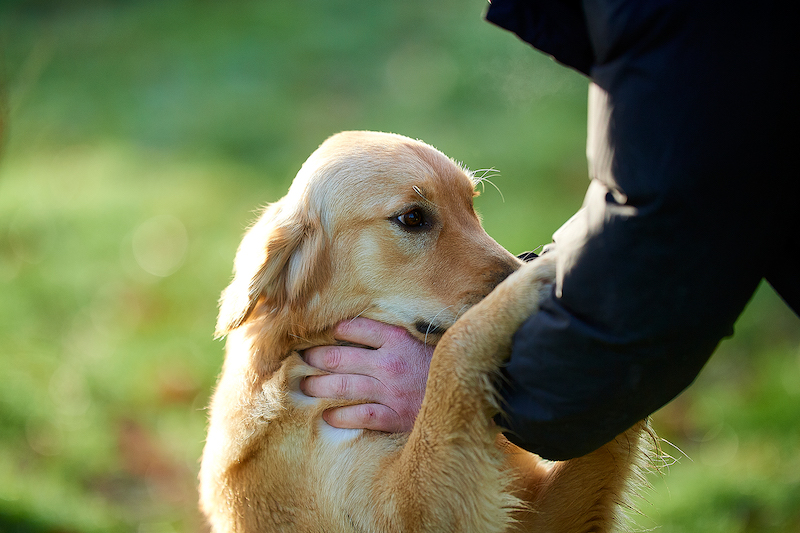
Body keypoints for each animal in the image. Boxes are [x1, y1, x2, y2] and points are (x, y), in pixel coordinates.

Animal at [198, 130, 648, 532]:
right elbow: (450, 356)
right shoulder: (406, 510)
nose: (524, 262)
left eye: (471, 206)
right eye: (413, 218)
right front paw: (530, 280)